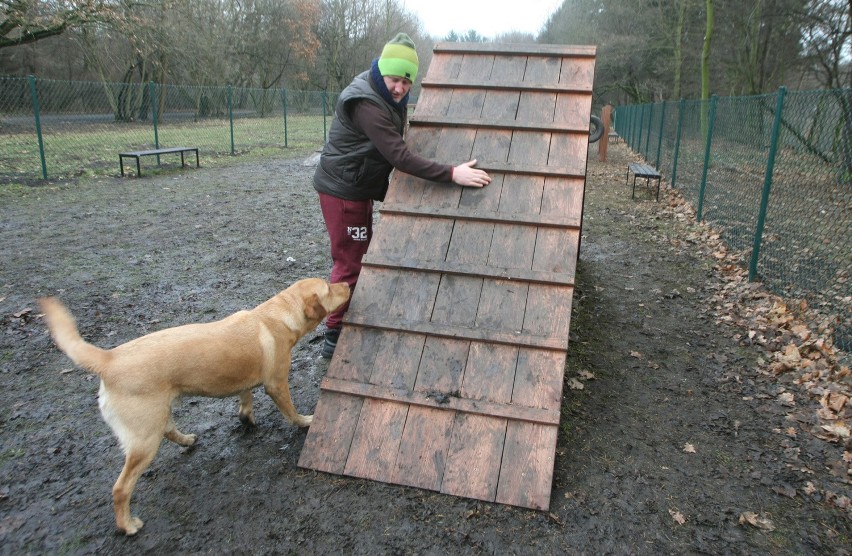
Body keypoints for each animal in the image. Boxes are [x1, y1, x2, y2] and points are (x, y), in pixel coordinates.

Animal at [36, 280, 350, 536]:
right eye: (329, 287)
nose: (347, 283)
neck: (274, 314)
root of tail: (109, 359)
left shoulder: (245, 377)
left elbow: (245, 396)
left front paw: (246, 417)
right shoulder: (276, 383)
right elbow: (290, 411)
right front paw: (305, 421)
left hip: (158, 415)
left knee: (169, 430)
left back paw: (187, 439)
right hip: (144, 440)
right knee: (121, 488)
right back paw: (127, 525)